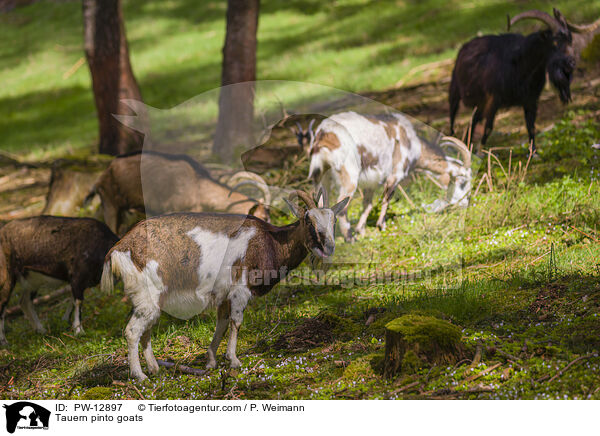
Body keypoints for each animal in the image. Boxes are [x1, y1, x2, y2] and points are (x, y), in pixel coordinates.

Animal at [101, 189, 350, 380]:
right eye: (308, 220)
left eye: (333, 221)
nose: (328, 247)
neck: (271, 241)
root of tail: (118, 248)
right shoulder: (240, 289)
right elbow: (236, 322)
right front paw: (234, 360)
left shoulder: (222, 294)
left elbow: (221, 322)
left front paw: (211, 361)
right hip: (146, 294)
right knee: (133, 331)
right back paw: (139, 375)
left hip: (152, 299)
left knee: (147, 329)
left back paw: (154, 368)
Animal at [308, 110, 472, 242]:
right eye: (462, 181)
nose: (465, 204)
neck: (413, 144)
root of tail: (325, 134)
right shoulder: (395, 175)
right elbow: (386, 199)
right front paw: (381, 226)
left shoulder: (371, 183)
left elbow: (367, 205)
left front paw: (361, 230)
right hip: (349, 175)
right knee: (342, 207)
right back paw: (350, 238)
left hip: (321, 176)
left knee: (320, 203)